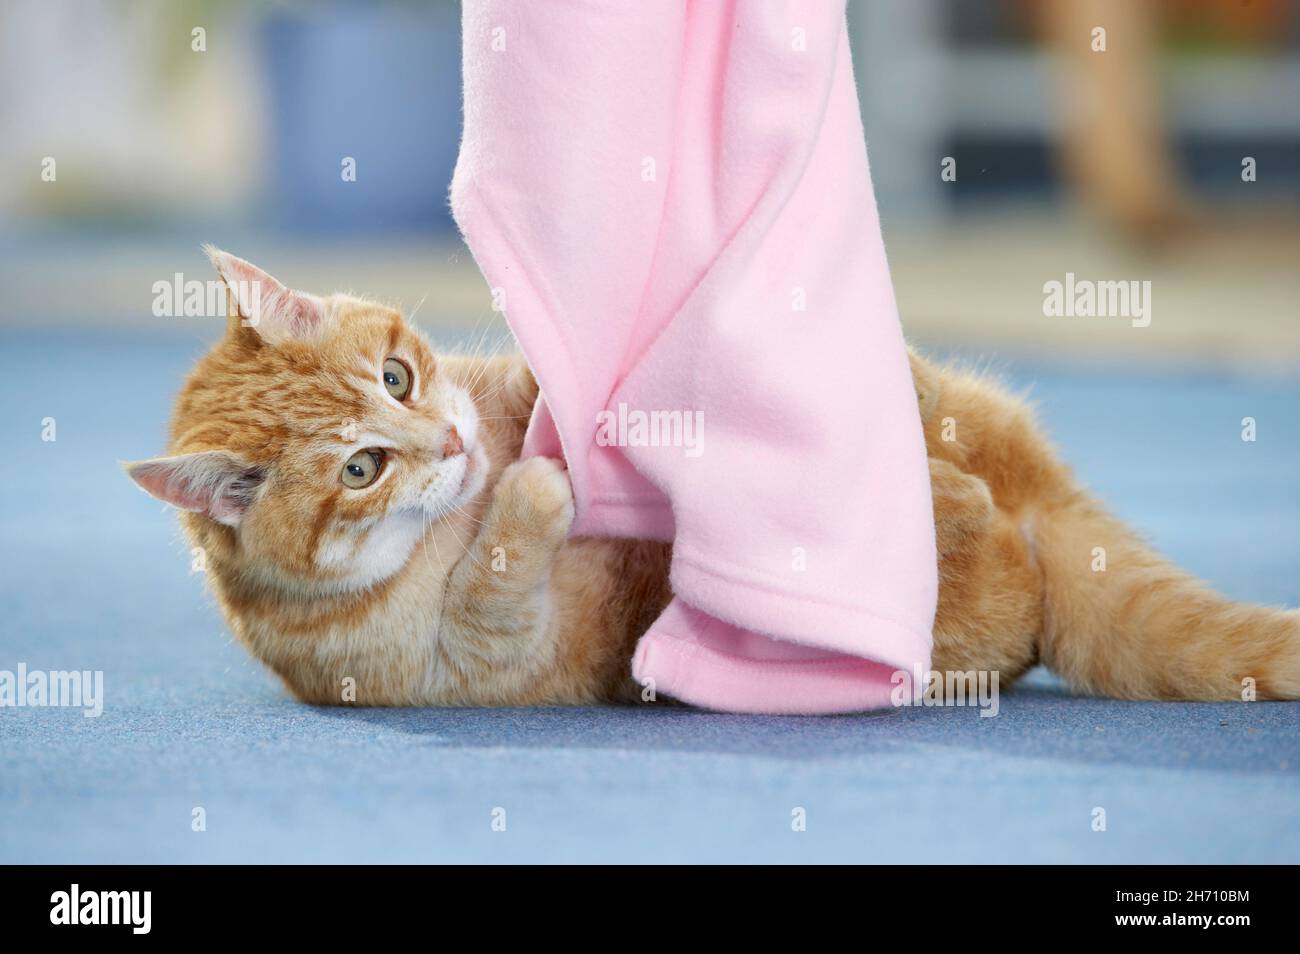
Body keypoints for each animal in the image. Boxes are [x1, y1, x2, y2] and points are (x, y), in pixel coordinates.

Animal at [124, 254, 1300, 712]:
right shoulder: (479, 654)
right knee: (992, 553)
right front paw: (535, 493)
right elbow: (498, 572)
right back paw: (949, 501)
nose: (446, 446)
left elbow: (539, 389)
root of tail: (1034, 501)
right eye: (361, 468)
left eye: (398, 375)